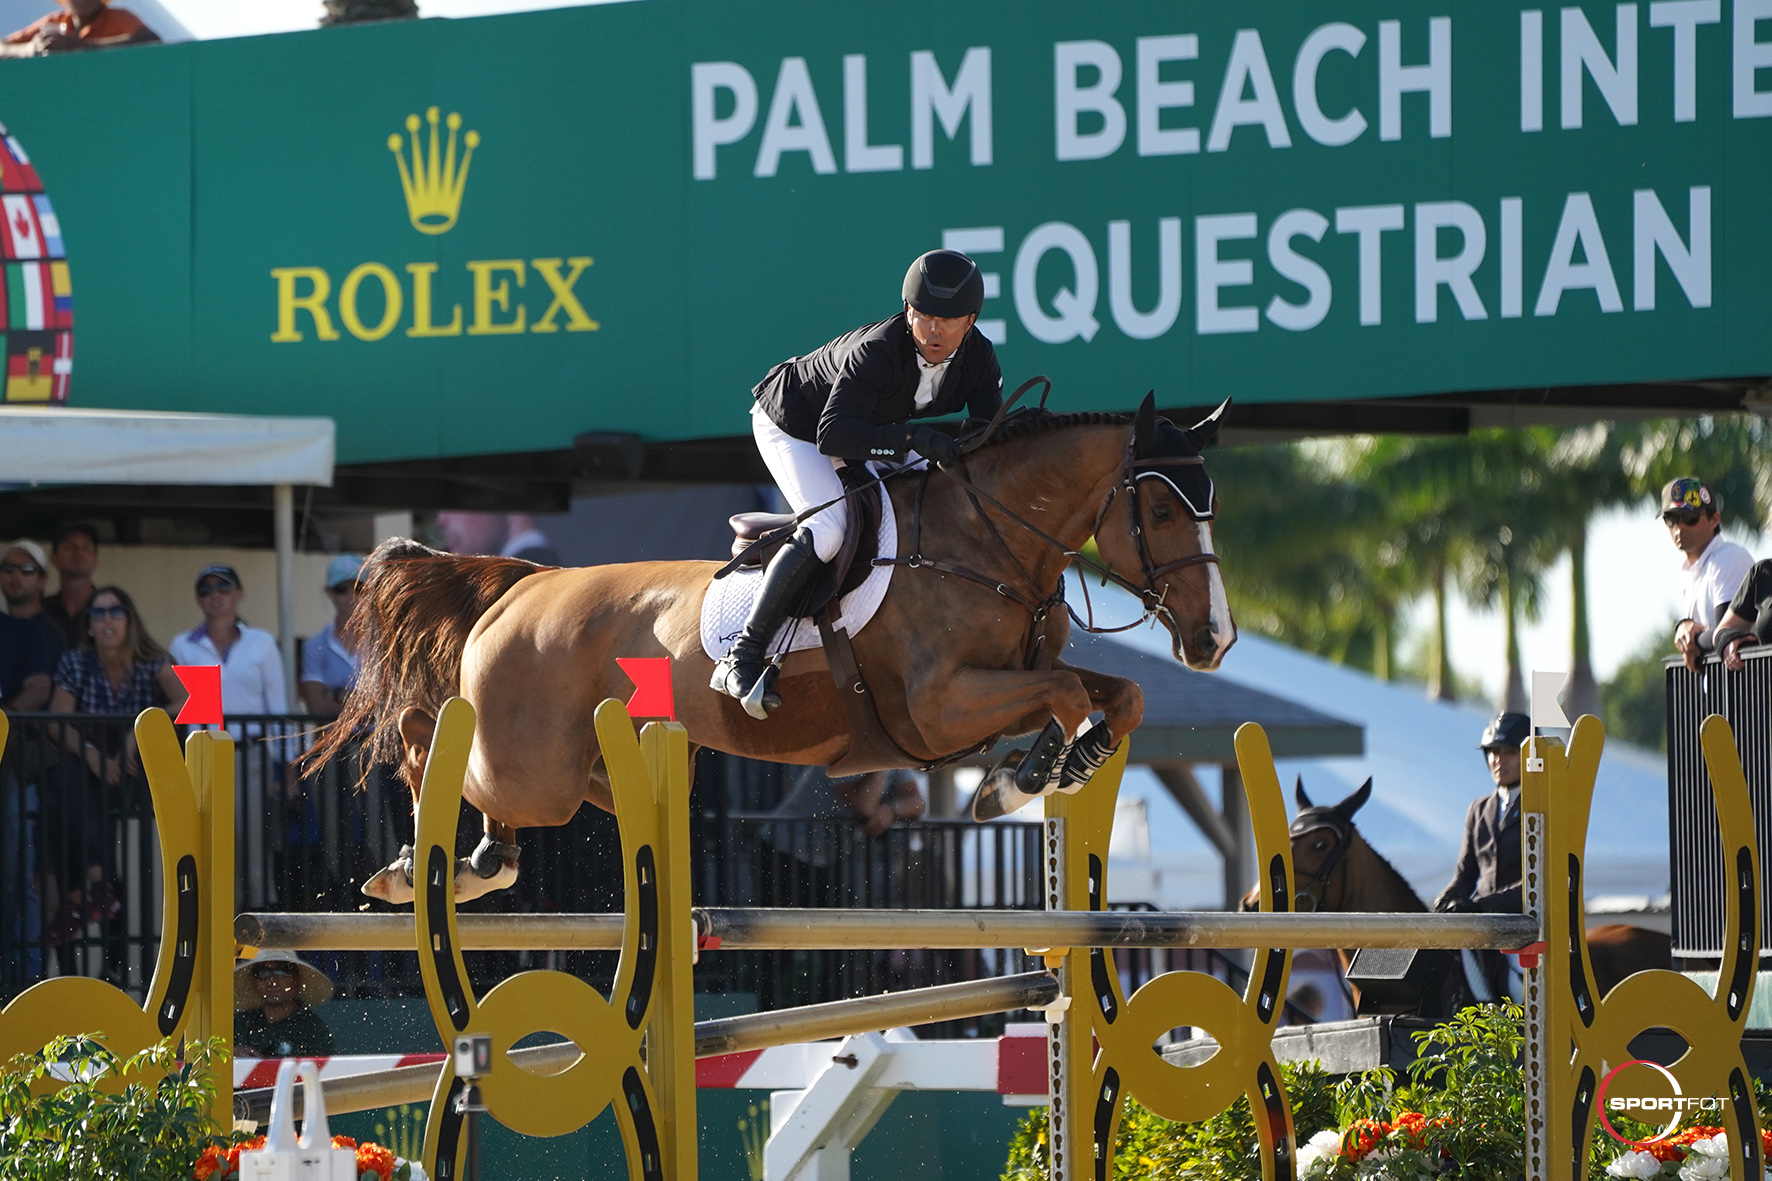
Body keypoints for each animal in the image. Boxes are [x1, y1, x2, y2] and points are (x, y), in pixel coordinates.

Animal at [311, 395, 1240, 900]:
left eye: (1211, 506)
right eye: (1161, 509)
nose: (1213, 640)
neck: (985, 543)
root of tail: (522, 586)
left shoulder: (1006, 679)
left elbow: (1117, 696)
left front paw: (1046, 771)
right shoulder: (939, 707)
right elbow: (1068, 696)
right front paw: (1023, 779)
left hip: (600, 768)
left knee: (509, 800)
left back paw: (475, 862)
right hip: (529, 763)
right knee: (427, 742)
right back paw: (408, 864)